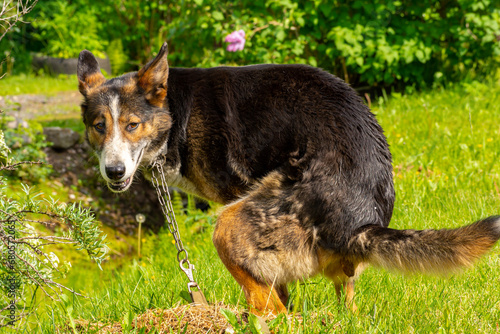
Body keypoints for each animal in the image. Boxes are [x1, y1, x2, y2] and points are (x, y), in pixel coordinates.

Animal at [77, 42, 500, 316]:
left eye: (132, 125)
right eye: (99, 127)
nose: (114, 172)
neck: (175, 111)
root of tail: (357, 224)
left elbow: (275, 292)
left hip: (228, 224)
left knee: (271, 308)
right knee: (343, 300)